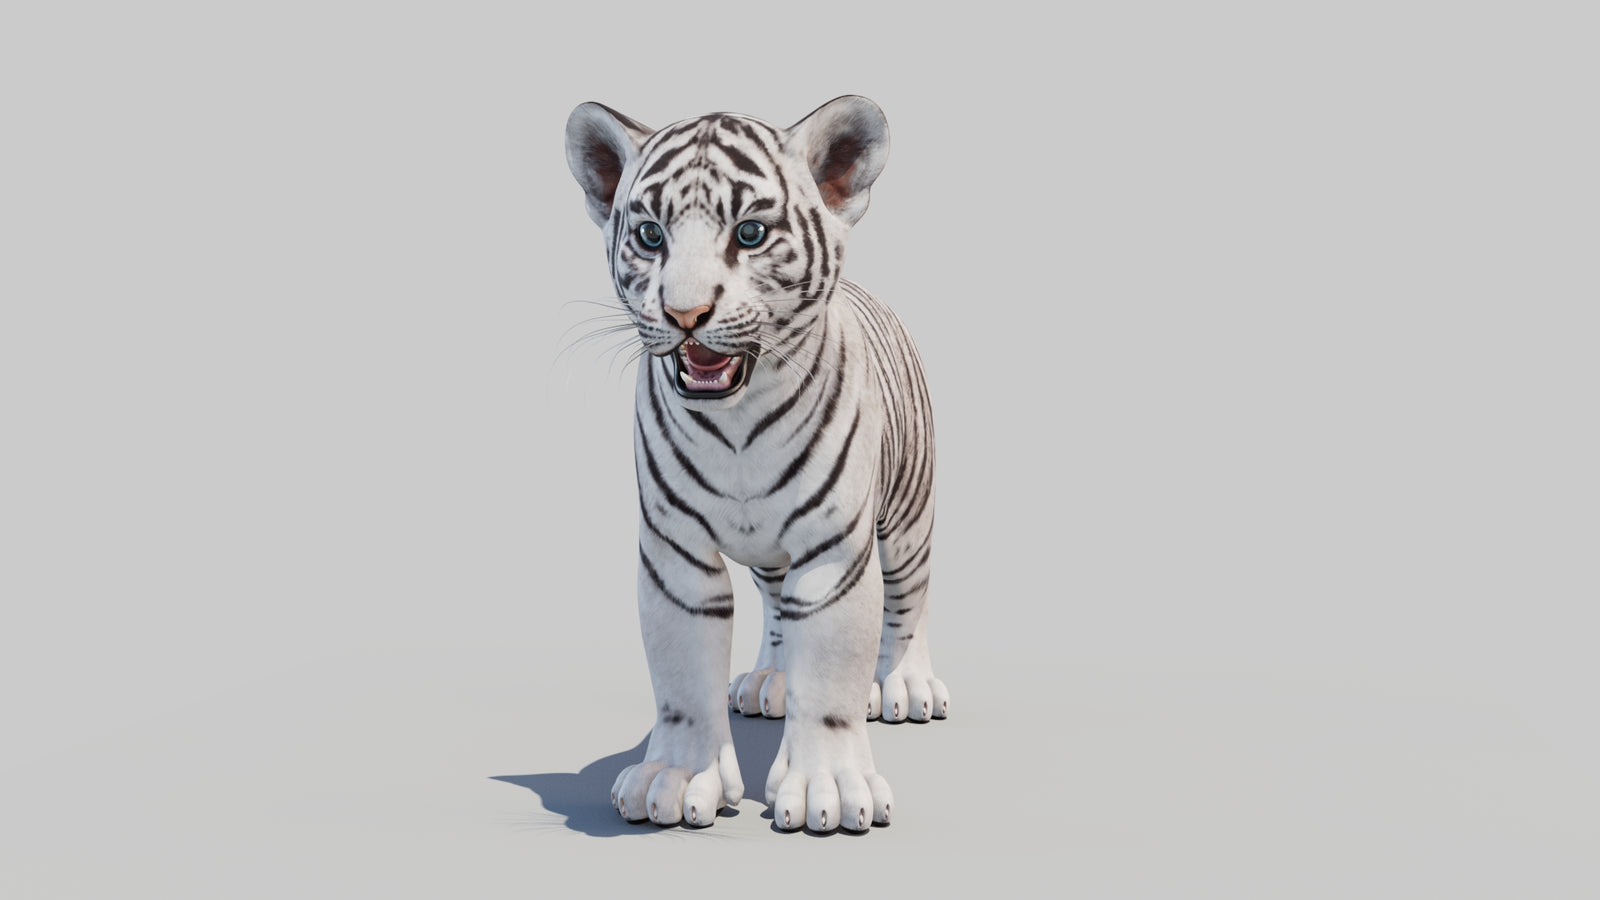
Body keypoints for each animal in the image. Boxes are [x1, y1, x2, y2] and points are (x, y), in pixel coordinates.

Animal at [563, 95, 946, 833]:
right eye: (650, 235)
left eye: (750, 233)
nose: (684, 313)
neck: (735, 424)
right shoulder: (675, 555)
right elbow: (682, 678)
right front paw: (678, 779)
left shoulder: (833, 552)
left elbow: (832, 675)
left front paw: (829, 789)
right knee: (774, 603)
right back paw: (771, 681)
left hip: (908, 515)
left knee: (910, 596)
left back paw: (908, 685)